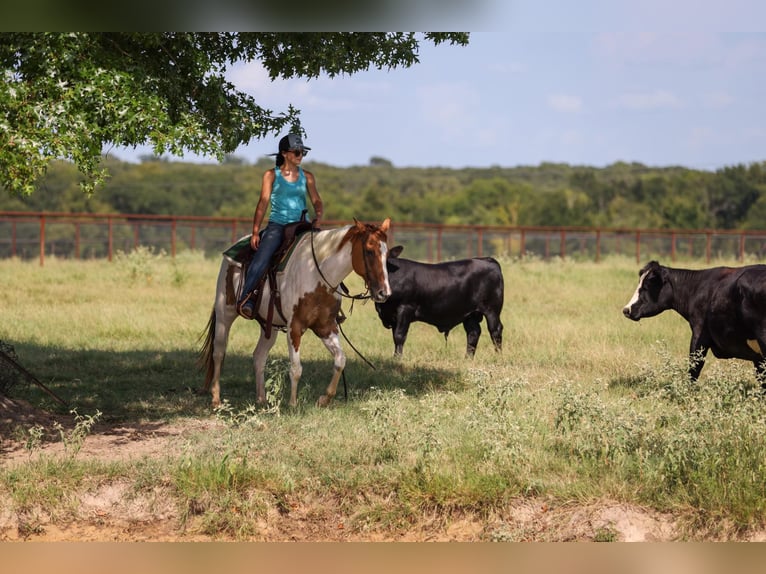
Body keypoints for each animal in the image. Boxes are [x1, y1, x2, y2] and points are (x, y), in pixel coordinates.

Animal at [198, 218, 392, 409]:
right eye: (369, 251)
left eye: (386, 253)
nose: (384, 293)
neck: (317, 274)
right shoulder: (295, 327)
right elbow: (296, 368)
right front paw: (292, 404)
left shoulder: (326, 327)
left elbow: (340, 360)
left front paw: (324, 399)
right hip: (224, 312)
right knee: (219, 352)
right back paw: (216, 399)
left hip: (269, 326)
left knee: (259, 356)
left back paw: (261, 399)